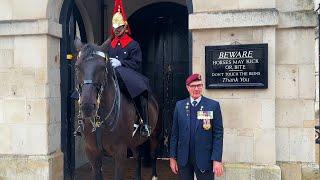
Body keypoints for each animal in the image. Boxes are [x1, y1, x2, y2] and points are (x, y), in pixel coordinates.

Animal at [74, 38, 161, 180]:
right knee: (138, 155)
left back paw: (154, 175)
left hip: (155, 133)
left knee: (153, 153)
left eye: (102, 68)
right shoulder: (92, 152)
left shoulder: (120, 152)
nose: (87, 107)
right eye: (77, 67)